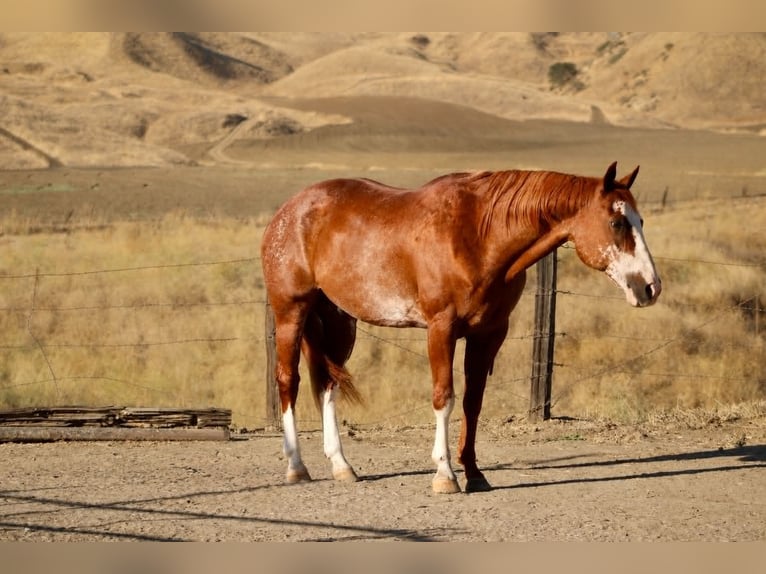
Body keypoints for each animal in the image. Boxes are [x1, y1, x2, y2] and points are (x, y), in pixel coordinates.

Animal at [260, 161, 661, 493]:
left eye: (641, 221)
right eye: (617, 223)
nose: (650, 287)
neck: (479, 235)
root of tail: (288, 211)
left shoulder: (489, 334)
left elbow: (473, 402)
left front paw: (474, 473)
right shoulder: (441, 328)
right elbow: (444, 397)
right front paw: (445, 475)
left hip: (340, 321)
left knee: (328, 385)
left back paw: (342, 465)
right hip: (291, 313)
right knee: (288, 381)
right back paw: (296, 466)